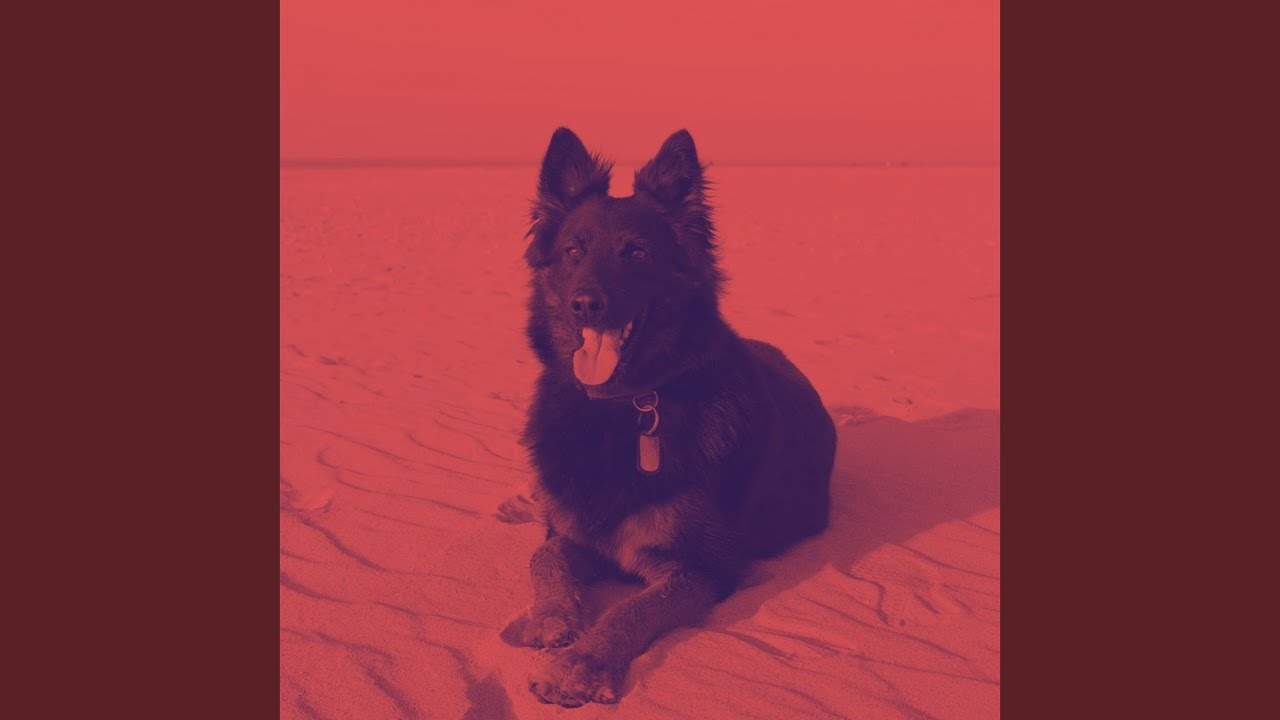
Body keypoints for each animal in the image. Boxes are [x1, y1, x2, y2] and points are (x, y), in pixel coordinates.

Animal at [507, 128, 836, 707]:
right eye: (573, 251)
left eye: (638, 252)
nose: (584, 304)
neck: (620, 410)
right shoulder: (574, 531)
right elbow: (544, 556)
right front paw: (550, 617)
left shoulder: (700, 568)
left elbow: (631, 609)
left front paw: (581, 663)